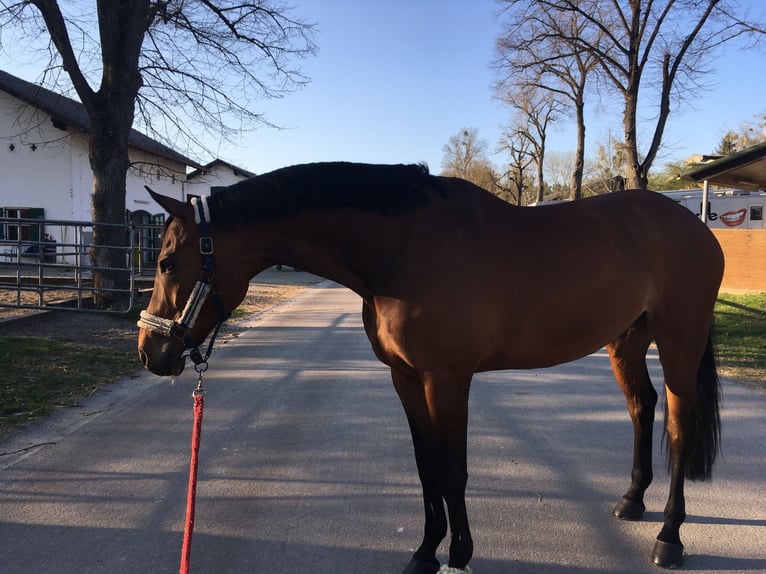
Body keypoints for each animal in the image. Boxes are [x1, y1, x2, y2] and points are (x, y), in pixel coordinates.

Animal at [136, 163, 728, 574]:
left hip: (679, 342)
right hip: (625, 341)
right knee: (641, 407)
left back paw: (669, 538)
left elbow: (453, 470)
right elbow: (426, 469)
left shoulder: (447, 381)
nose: (149, 352)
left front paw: (460, 553)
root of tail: (696, 227)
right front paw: (424, 551)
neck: (401, 250)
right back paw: (631, 501)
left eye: (165, 262)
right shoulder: (404, 377)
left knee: (679, 426)